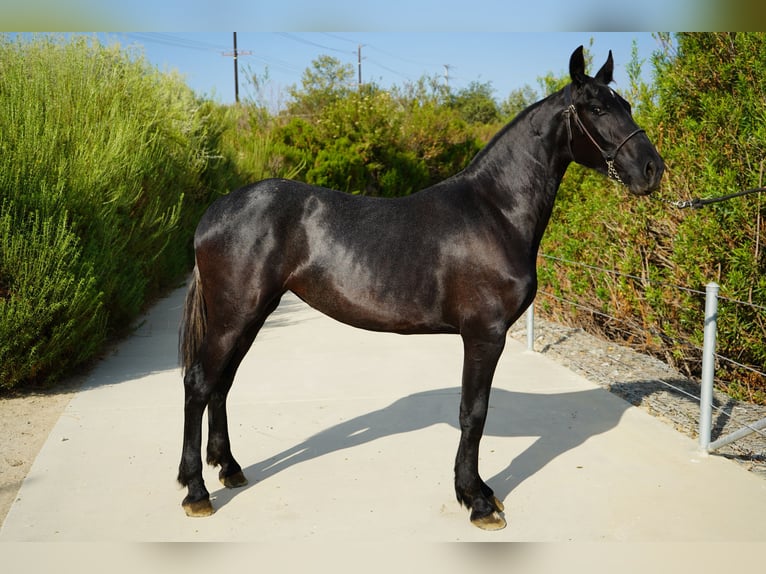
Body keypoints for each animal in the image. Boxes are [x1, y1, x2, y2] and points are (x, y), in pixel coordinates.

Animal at [177, 46, 664, 531]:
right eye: (597, 109)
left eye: (627, 104)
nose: (652, 169)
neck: (496, 212)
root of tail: (215, 211)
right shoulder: (484, 335)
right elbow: (473, 413)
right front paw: (476, 500)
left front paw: (481, 491)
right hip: (234, 315)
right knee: (199, 383)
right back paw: (196, 491)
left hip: (252, 315)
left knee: (222, 383)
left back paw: (229, 468)